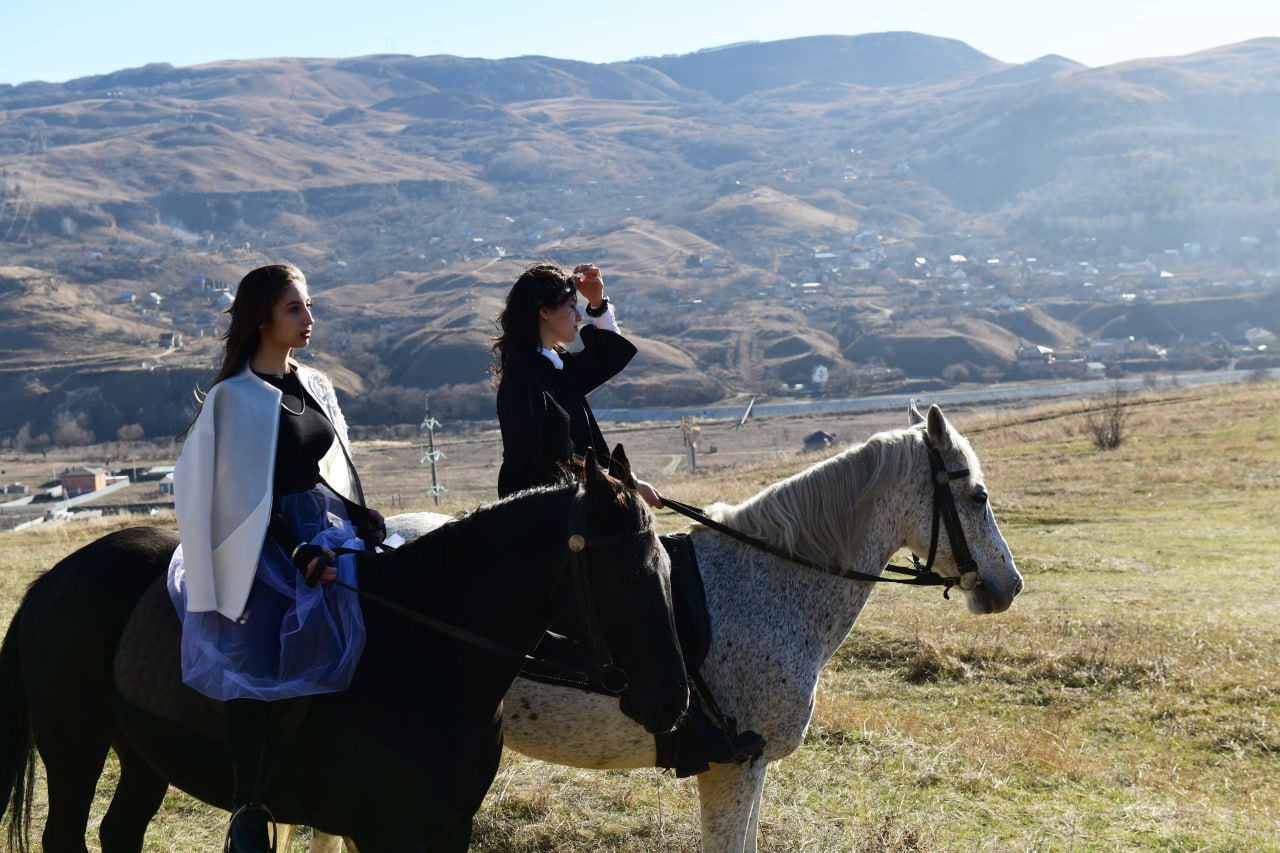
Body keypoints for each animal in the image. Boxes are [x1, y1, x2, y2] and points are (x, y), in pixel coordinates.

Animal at [0, 448, 691, 845]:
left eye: (666, 565)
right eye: (627, 575)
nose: (672, 702)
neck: (426, 655)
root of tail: (51, 582)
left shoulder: (449, 828)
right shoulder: (386, 833)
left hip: (143, 753)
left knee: (120, 831)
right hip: (75, 746)